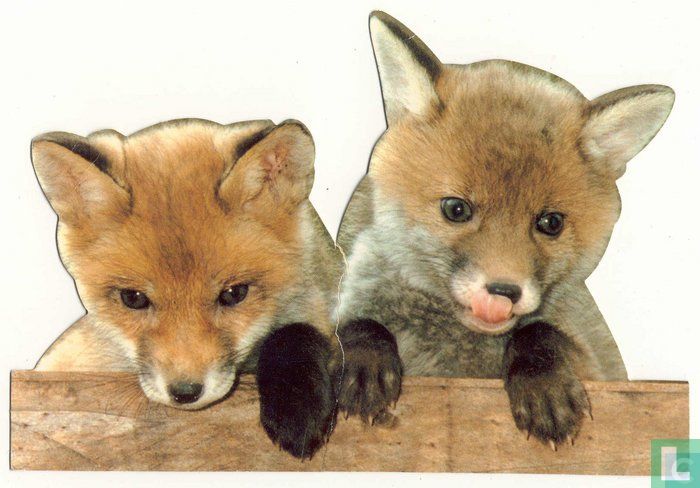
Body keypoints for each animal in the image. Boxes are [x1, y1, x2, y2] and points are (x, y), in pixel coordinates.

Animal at [335, 11, 674, 448]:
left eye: (550, 223)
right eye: (456, 209)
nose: (502, 292)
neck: (456, 348)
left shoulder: (600, 368)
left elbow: (540, 333)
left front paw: (544, 386)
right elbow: (354, 327)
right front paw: (363, 362)